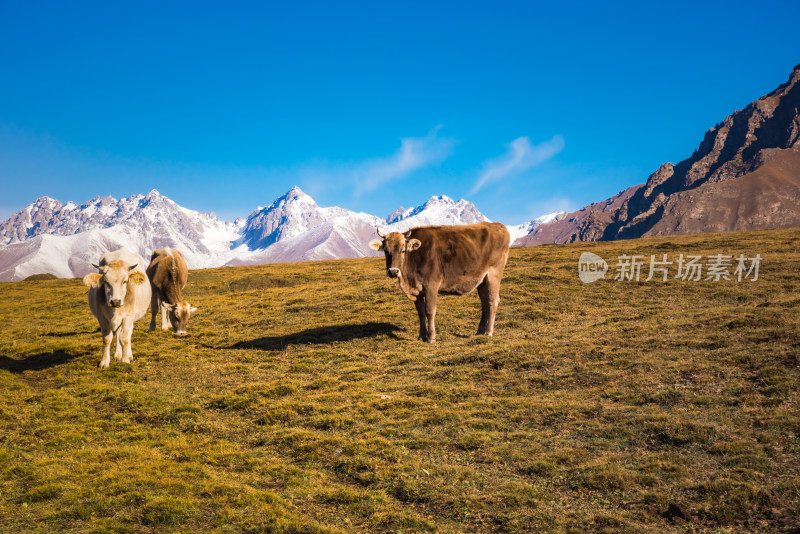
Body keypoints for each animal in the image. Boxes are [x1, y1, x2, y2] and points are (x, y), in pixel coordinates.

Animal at [368, 221, 510, 344]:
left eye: (403, 250)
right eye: (386, 251)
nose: (393, 271)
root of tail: (498, 225)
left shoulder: (431, 285)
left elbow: (430, 311)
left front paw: (431, 338)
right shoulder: (417, 290)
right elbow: (420, 313)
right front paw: (421, 336)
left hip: (494, 274)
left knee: (493, 301)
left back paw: (489, 332)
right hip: (481, 280)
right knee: (485, 303)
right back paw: (480, 331)